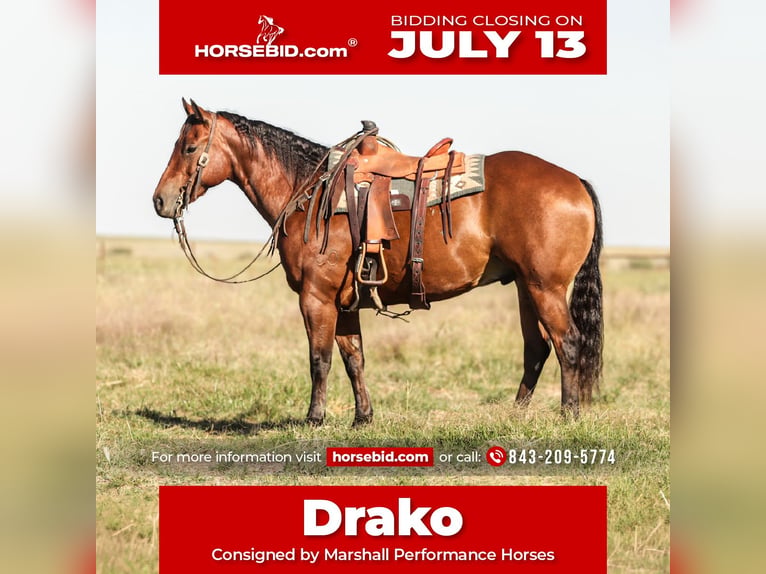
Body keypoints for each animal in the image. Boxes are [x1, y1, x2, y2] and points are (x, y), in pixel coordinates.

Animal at [153, 99, 604, 427]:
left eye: (189, 148)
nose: (160, 200)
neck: (308, 192)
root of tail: (576, 181)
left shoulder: (316, 298)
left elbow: (319, 360)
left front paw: (313, 419)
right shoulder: (345, 302)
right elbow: (354, 358)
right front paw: (362, 418)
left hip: (545, 288)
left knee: (568, 343)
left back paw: (569, 415)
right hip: (526, 287)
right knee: (537, 348)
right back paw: (516, 415)